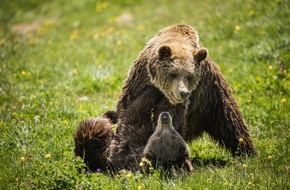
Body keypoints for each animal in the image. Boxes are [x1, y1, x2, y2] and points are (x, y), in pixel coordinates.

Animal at [73, 23, 256, 172]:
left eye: (189, 76)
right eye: (173, 73)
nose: (183, 92)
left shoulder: (195, 93)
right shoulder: (138, 80)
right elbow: (128, 110)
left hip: (212, 98)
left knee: (231, 123)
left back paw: (247, 152)